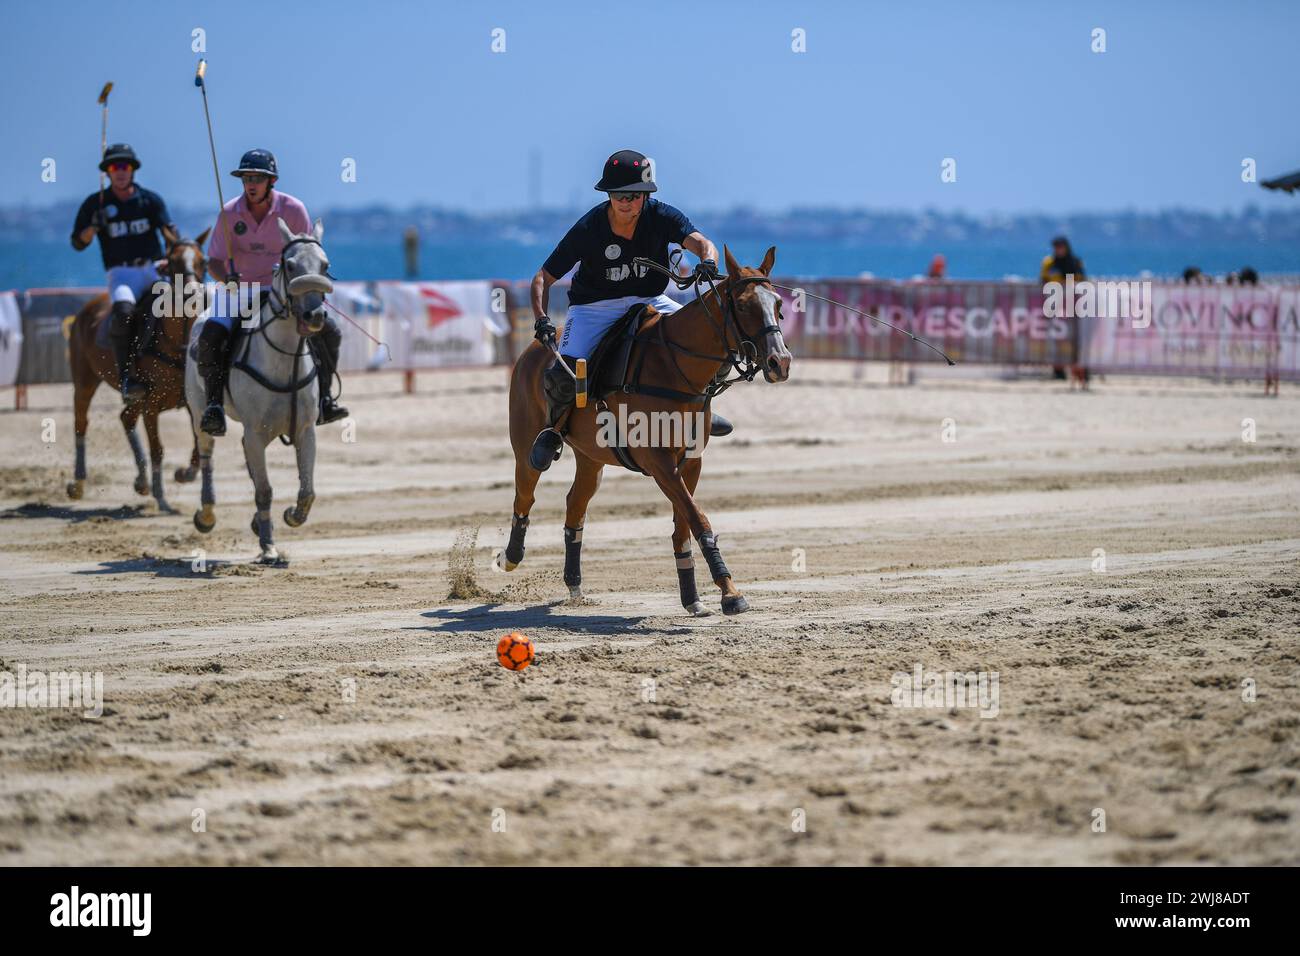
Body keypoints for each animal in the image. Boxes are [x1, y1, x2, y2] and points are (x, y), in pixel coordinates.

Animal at [64, 230, 208, 515]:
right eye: (172, 261)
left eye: (202, 261)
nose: (193, 294)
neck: (176, 342)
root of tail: (90, 305)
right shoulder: (152, 404)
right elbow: (158, 450)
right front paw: (162, 498)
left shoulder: (189, 401)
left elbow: (198, 444)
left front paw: (184, 474)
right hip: (85, 380)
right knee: (81, 423)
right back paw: (78, 483)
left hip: (136, 397)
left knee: (125, 417)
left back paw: (141, 482)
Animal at [184, 218, 335, 561]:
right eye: (290, 265)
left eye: (325, 265)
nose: (315, 316)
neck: (285, 358)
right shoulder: (255, 432)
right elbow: (264, 491)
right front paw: (268, 547)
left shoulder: (305, 429)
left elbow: (308, 490)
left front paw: (291, 516)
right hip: (198, 408)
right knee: (206, 452)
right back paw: (206, 515)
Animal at [501, 247, 790, 616]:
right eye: (742, 306)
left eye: (778, 305)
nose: (780, 362)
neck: (676, 368)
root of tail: (529, 353)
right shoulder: (658, 461)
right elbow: (698, 520)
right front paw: (730, 593)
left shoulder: (690, 461)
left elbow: (684, 525)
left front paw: (693, 596)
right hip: (525, 445)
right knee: (525, 494)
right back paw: (511, 556)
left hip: (591, 458)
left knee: (575, 504)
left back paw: (574, 583)